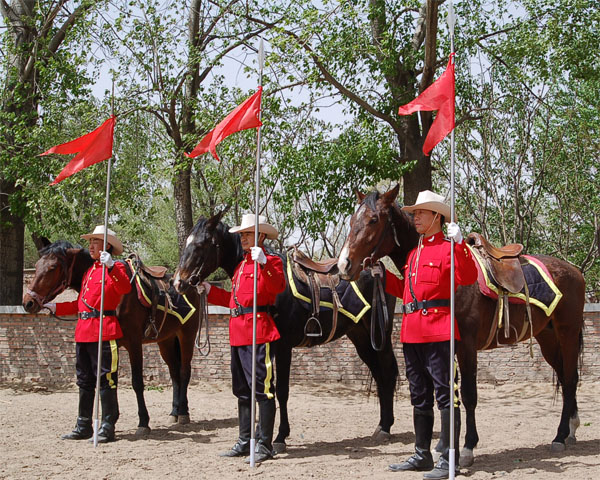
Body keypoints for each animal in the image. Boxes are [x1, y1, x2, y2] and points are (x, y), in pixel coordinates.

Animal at [21, 239, 202, 436]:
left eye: (53, 267)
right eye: (37, 266)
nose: (28, 302)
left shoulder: (134, 343)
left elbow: (137, 382)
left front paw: (143, 422)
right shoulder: (110, 343)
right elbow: (110, 380)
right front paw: (109, 423)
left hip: (187, 336)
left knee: (184, 371)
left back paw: (183, 413)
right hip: (166, 341)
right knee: (174, 372)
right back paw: (174, 412)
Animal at [338, 185, 584, 468]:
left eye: (373, 220)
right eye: (351, 221)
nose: (343, 265)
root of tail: (575, 271)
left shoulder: (466, 345)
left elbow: (467, 394)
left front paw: (467, 448)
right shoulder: (447, 347)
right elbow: (449, 396)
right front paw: (446, 448)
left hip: (567, 332)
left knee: (570, 378)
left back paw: (561, 435)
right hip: (548, 338)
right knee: (566, 378)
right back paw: (570, 429)